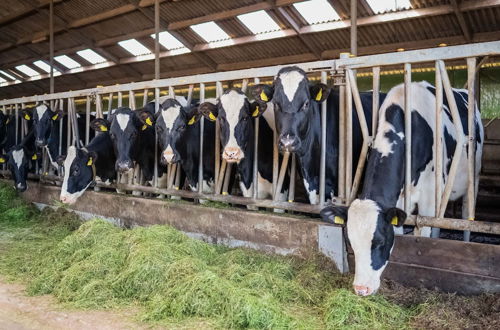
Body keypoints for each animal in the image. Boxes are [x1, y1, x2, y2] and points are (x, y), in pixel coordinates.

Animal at [320, 82, 484, 296]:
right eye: (351, 242)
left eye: (380, 242)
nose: (361, 289)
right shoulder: (396, 200)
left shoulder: (428, 198)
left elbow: (423, 234)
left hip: (473, 178)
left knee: (465, 218)